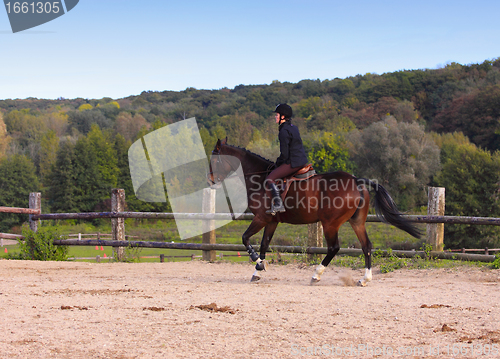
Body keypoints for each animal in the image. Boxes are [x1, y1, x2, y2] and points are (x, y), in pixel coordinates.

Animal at [208, 139, 422, 286]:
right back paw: (364, 279)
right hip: (356, 222)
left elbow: (245, 238)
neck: (259, 178)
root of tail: (357, 180)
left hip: (330, 223)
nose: (210, 180)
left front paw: (258, 264)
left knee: (334, 248)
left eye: (214, 160)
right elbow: (264, 244)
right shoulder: (271, 221)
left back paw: (316, 275)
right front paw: (258, 270)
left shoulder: (261, 218)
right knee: (366, 245)